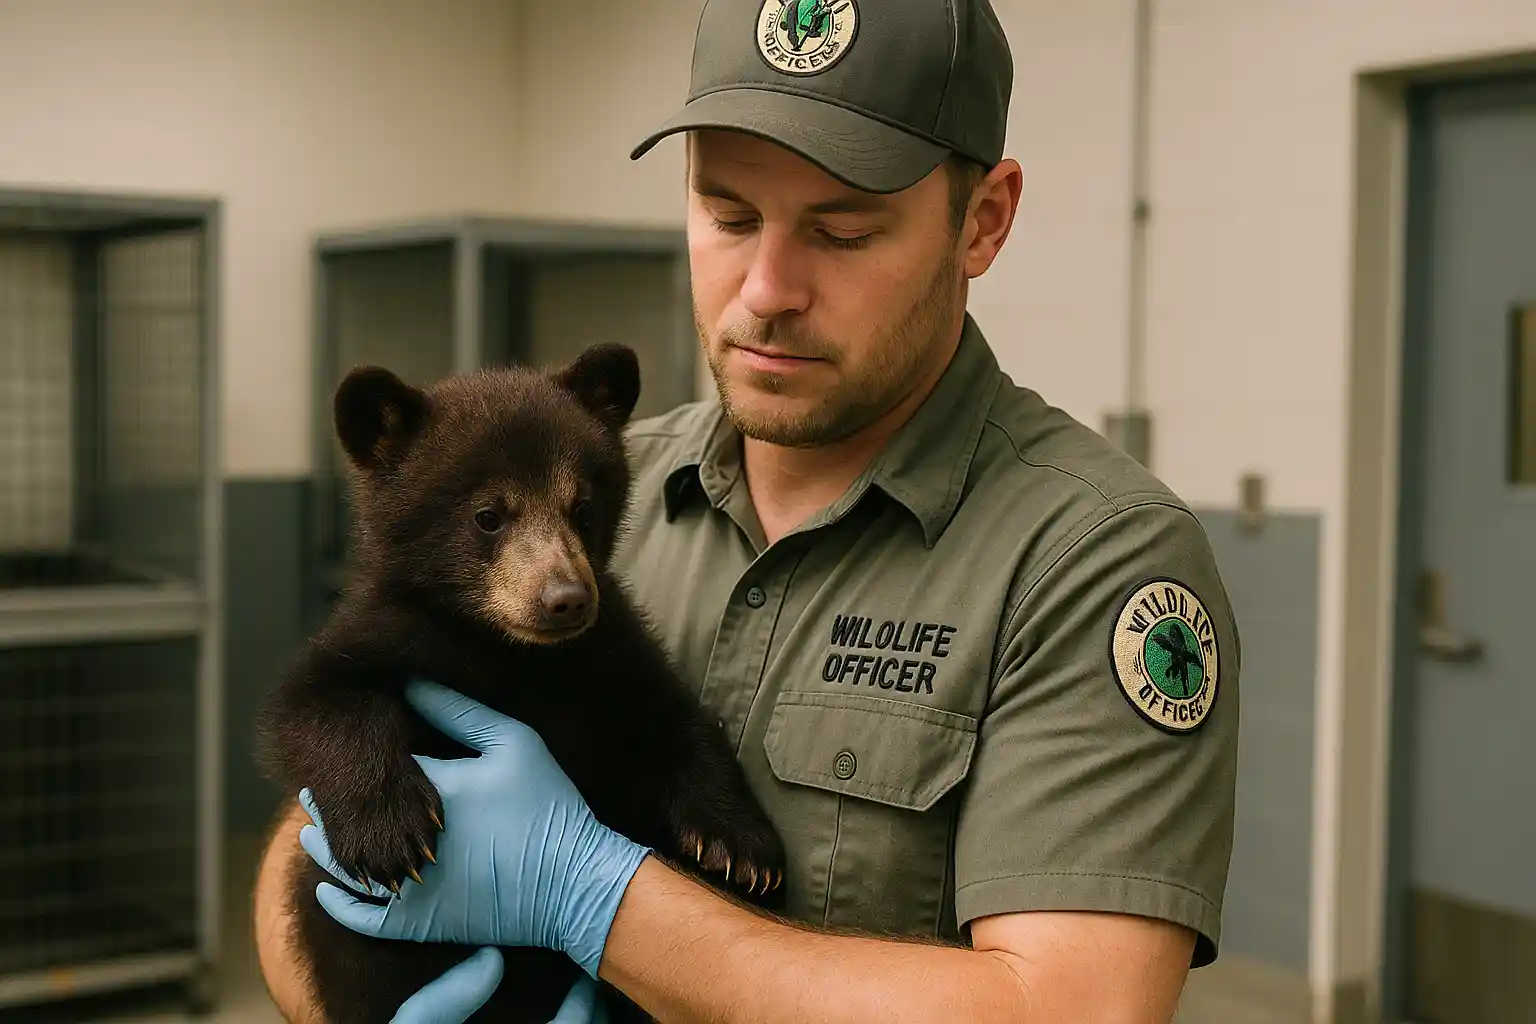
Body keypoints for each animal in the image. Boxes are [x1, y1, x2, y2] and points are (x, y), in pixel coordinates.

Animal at [255, 343, 786, 1024]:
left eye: (582, 508)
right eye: (488, 516)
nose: (566, 599)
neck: (509, 652)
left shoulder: (609, 652)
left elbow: (670, 714)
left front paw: (742, 847)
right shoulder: (380, 632)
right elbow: (313, 703)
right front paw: (389, 831)